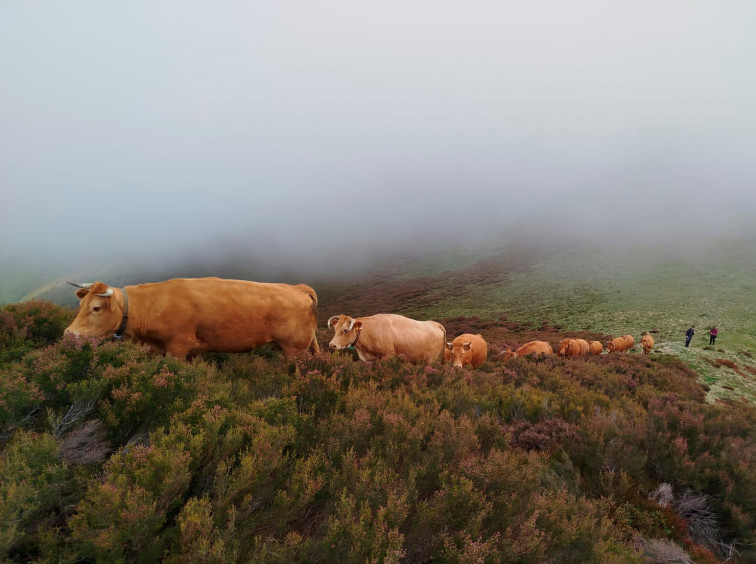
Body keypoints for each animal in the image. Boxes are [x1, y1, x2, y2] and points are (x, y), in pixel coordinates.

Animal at [64, 278, 320, 359]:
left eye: (96, 308)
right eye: (81, 305)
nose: (69, 334)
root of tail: (297, 287)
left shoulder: (177, 347)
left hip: (293, 349)